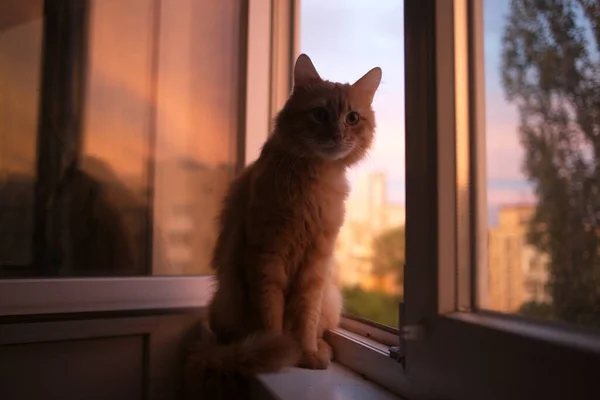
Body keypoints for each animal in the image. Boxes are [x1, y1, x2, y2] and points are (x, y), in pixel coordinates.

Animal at [185, 52, 380, 390]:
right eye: (320, 114)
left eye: (352, 118)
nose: (337, 135)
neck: (314, 183)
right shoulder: (266, 256)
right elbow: (271, 315)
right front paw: (277, 350)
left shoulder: (315, 264)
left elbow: (305, 316)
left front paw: (306, 353)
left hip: (329, 298)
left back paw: (321, 348)